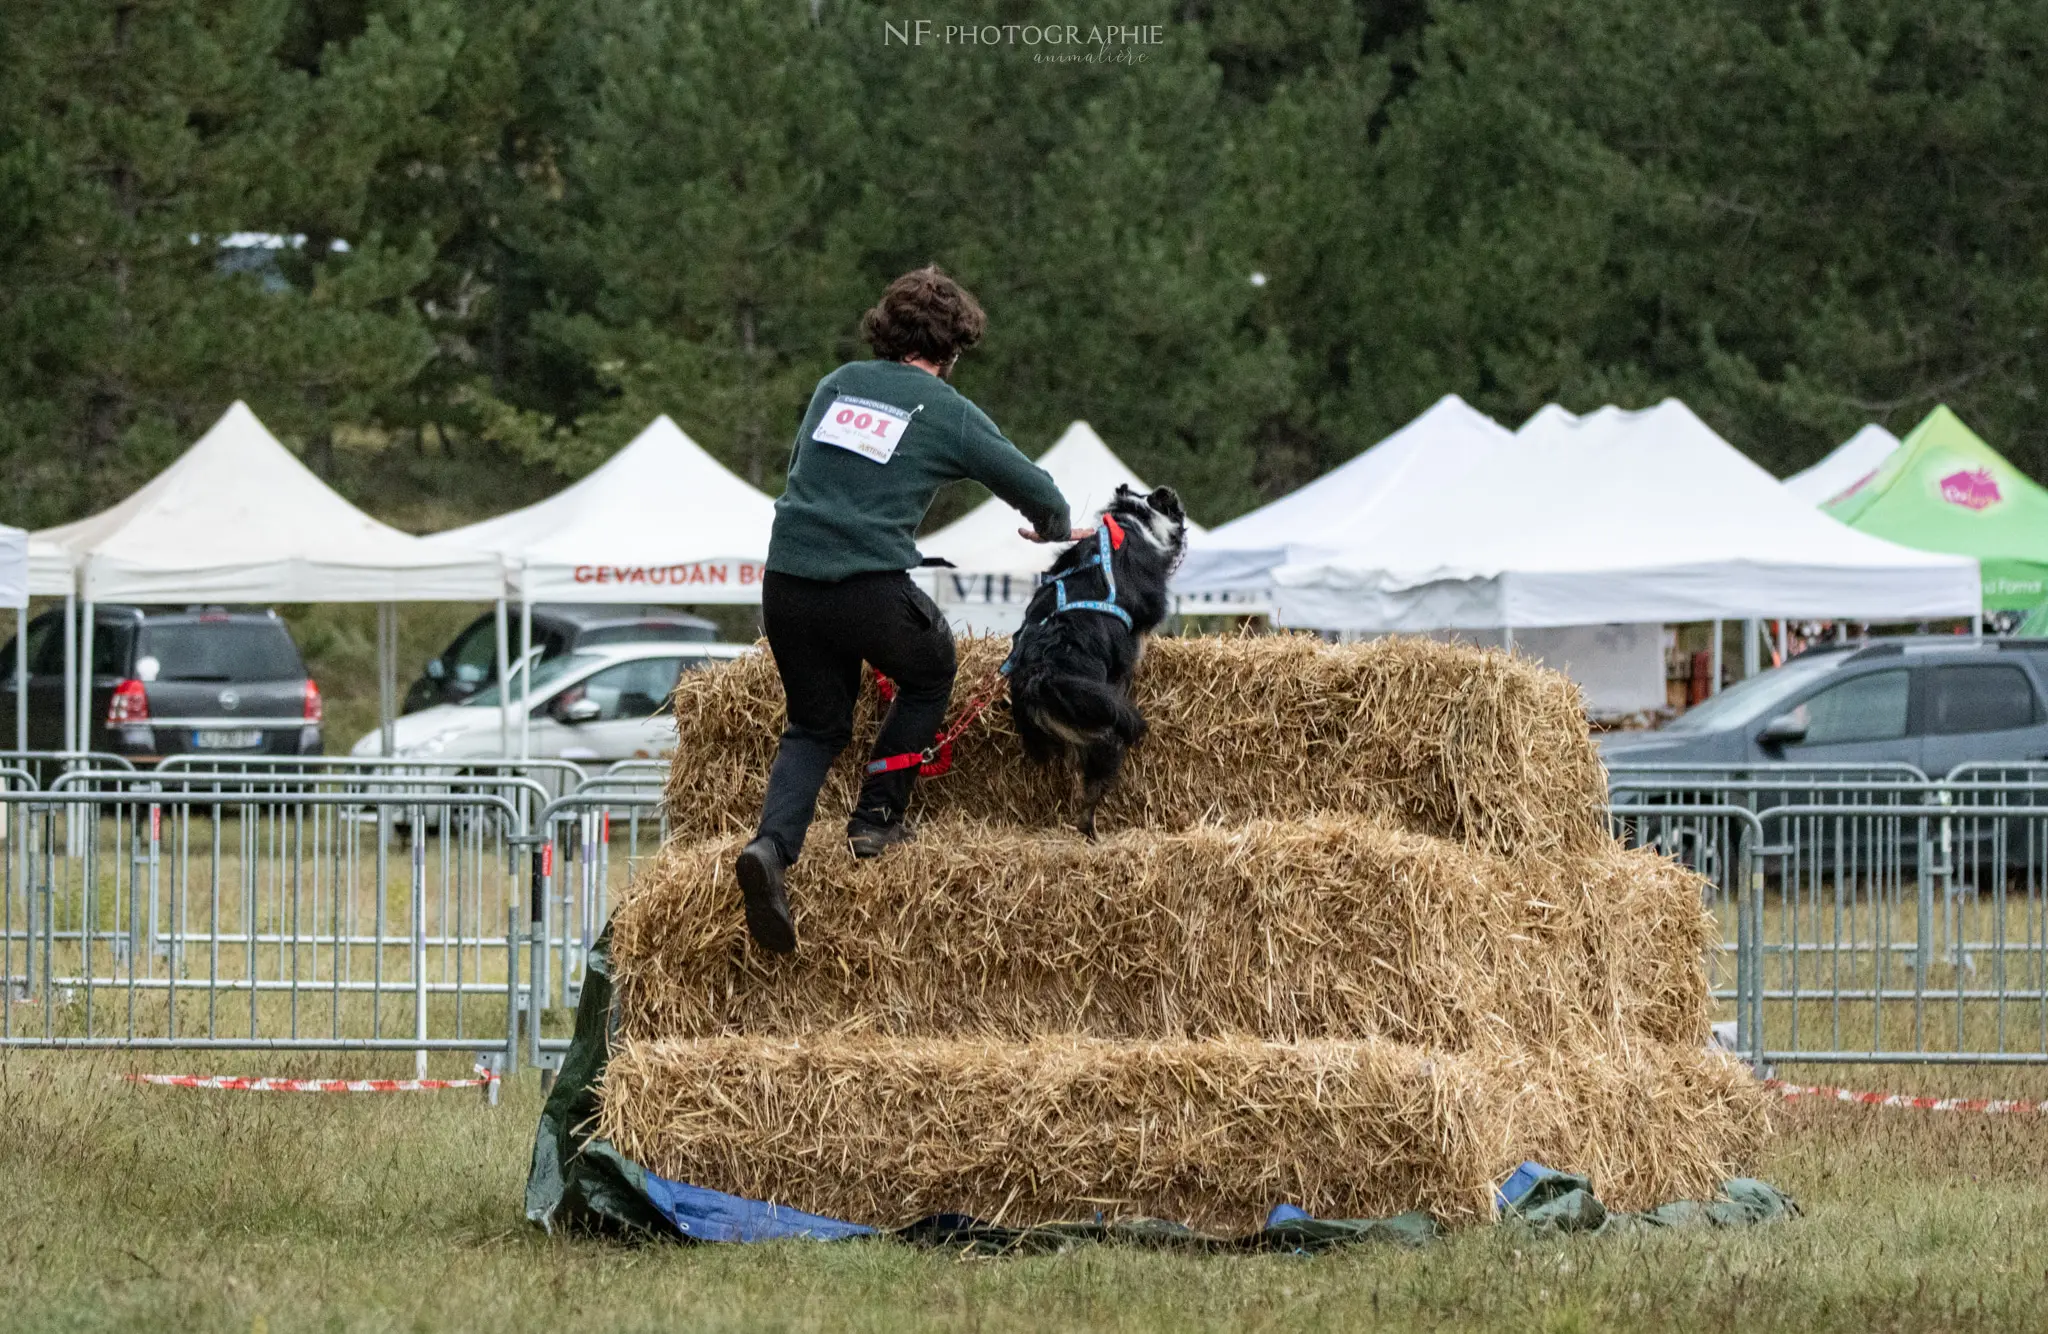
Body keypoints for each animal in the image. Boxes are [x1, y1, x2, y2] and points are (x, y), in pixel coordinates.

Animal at [1003, 479, 1187, 836]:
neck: (1135, 521)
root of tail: (1042, 674)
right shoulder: (1133, 644)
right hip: (1105, 732)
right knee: (1089, 796)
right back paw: (1090, 832)